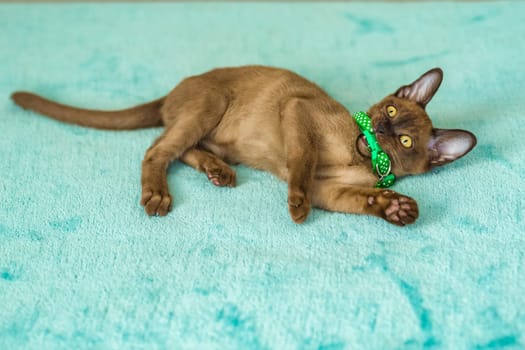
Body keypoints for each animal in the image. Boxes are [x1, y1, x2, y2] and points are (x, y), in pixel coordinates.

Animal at [10, 65, 476, 226]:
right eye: (392, 111)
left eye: (403, 140)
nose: (379, 125)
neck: (359, 157)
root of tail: (173, 91)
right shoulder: (298, 112)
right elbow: (303, 163)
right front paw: (296, 209)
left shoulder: (329, 191)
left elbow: (361, 200)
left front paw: (397, 209)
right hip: (212, 104)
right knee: (157, 150)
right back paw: (158, 196)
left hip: (214, 131)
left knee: (177, 147)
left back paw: (219, 172)